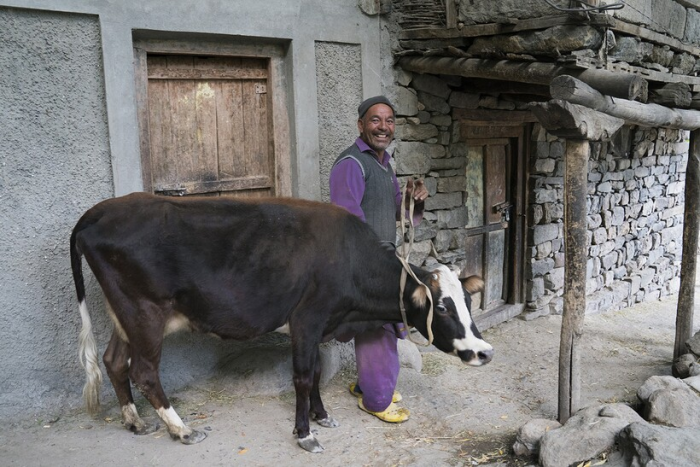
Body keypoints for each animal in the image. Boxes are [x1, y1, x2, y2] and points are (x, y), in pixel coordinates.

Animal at [71, 193, 492, 454]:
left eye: (468, 302)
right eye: (443, 308)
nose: (484, 352)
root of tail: (100, 210)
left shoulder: (319, 325)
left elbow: (318, 371)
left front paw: (322, 416)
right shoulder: (307, 318)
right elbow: (303, 377)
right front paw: (305, 434)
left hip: (123, 314)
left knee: (113, 361)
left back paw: (135, 422)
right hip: (145, 313)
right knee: (143, 370)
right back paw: (182, 429)